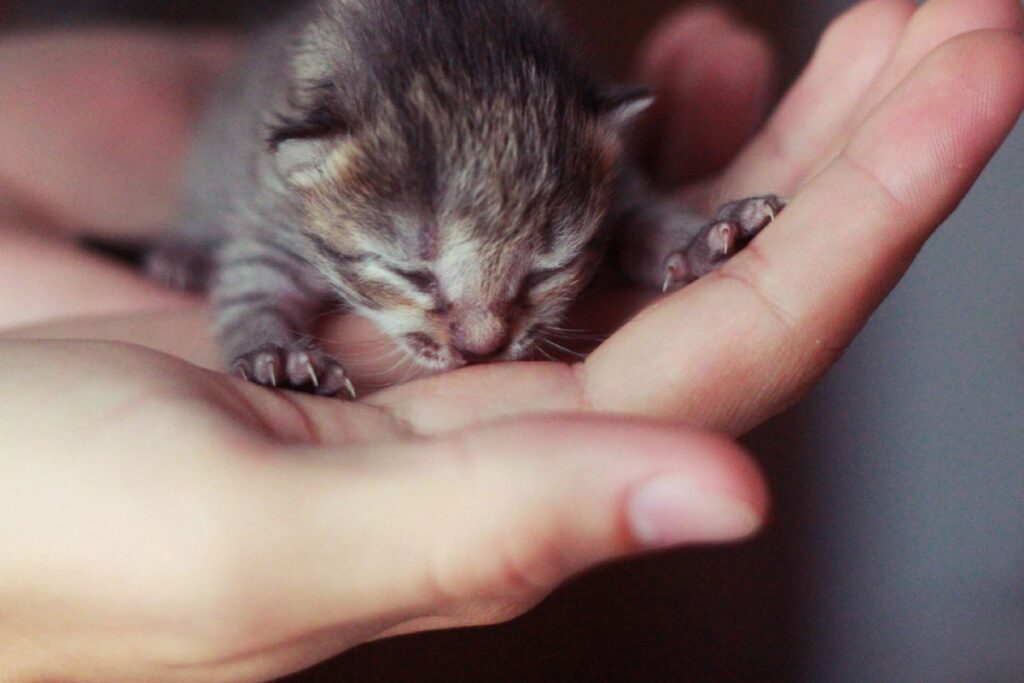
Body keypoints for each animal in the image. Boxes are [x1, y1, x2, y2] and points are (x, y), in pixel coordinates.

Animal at [146, 0, 782, 397]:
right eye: (412, 274)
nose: (481, 350)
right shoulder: (273, 213)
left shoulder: (617, 186)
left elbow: (643, 215)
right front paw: (276, 354)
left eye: (545, 270)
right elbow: (251, 284)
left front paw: (699, 240)